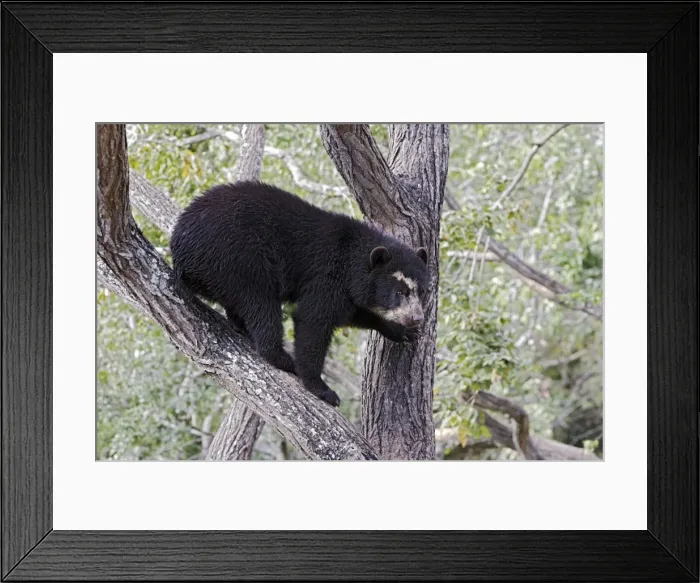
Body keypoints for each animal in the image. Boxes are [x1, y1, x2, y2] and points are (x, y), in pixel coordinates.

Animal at [170, 181, 429, 407]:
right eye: (400, 291)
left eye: (423, 292)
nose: (417, 318)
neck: (352, 261)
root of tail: (180, 250)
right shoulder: (327, 276)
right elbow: (313, 321)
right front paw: (322, 389)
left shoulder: (347, 291)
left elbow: (353, 314)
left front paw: (401, 331)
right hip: (238, 258)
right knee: (260, 304)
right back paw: (282, 358)